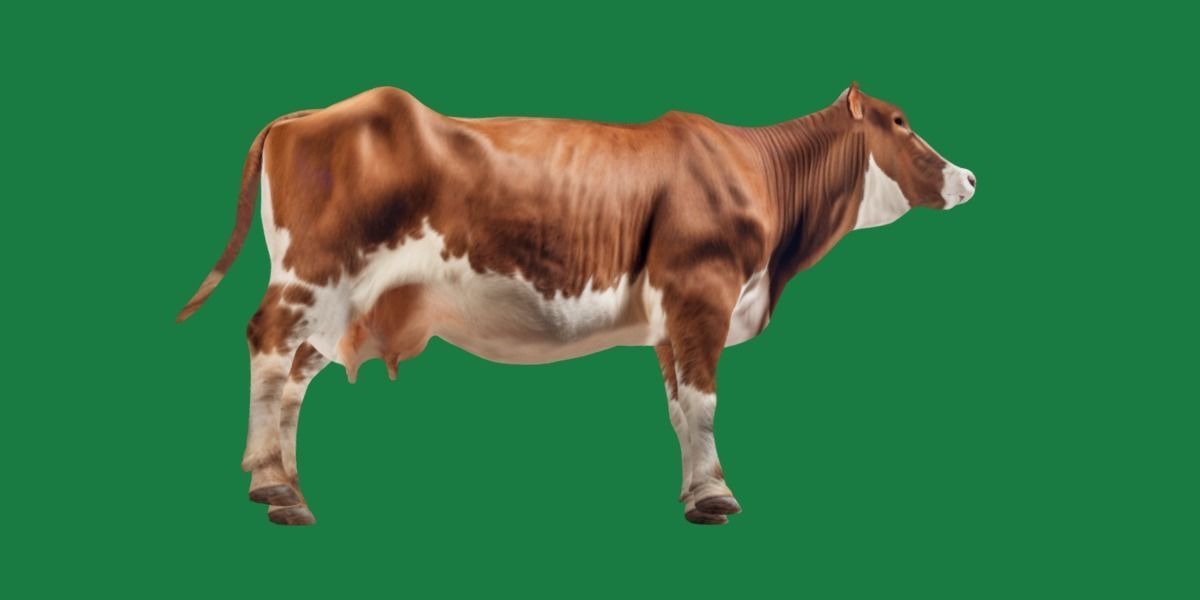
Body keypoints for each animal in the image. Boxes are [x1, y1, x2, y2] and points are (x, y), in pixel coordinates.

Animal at [178, 83, 976, 526]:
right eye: (900, 122)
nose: (968, 176)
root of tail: (310, 113)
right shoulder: (702, 291)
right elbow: (705, 402)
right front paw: (716, 496)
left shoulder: (670, 316)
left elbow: (680, 406)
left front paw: (693, 490)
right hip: (312, 276)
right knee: (266, 346)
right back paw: (272, 484)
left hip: (338, 303)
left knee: (293, 377)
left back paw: (285, 486)